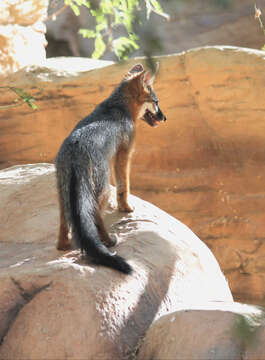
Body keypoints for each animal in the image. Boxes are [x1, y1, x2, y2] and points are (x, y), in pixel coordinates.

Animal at [54, 63, 165, 274]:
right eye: (156, 102)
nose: (164, 118)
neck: (117, 106)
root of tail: (75, 149)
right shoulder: (124, 154)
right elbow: (124, 186)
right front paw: (126, 208)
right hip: (104, 190)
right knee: (95, 216)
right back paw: (108, 241)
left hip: (64, 193)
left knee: (65, 220)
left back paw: (63, 245)